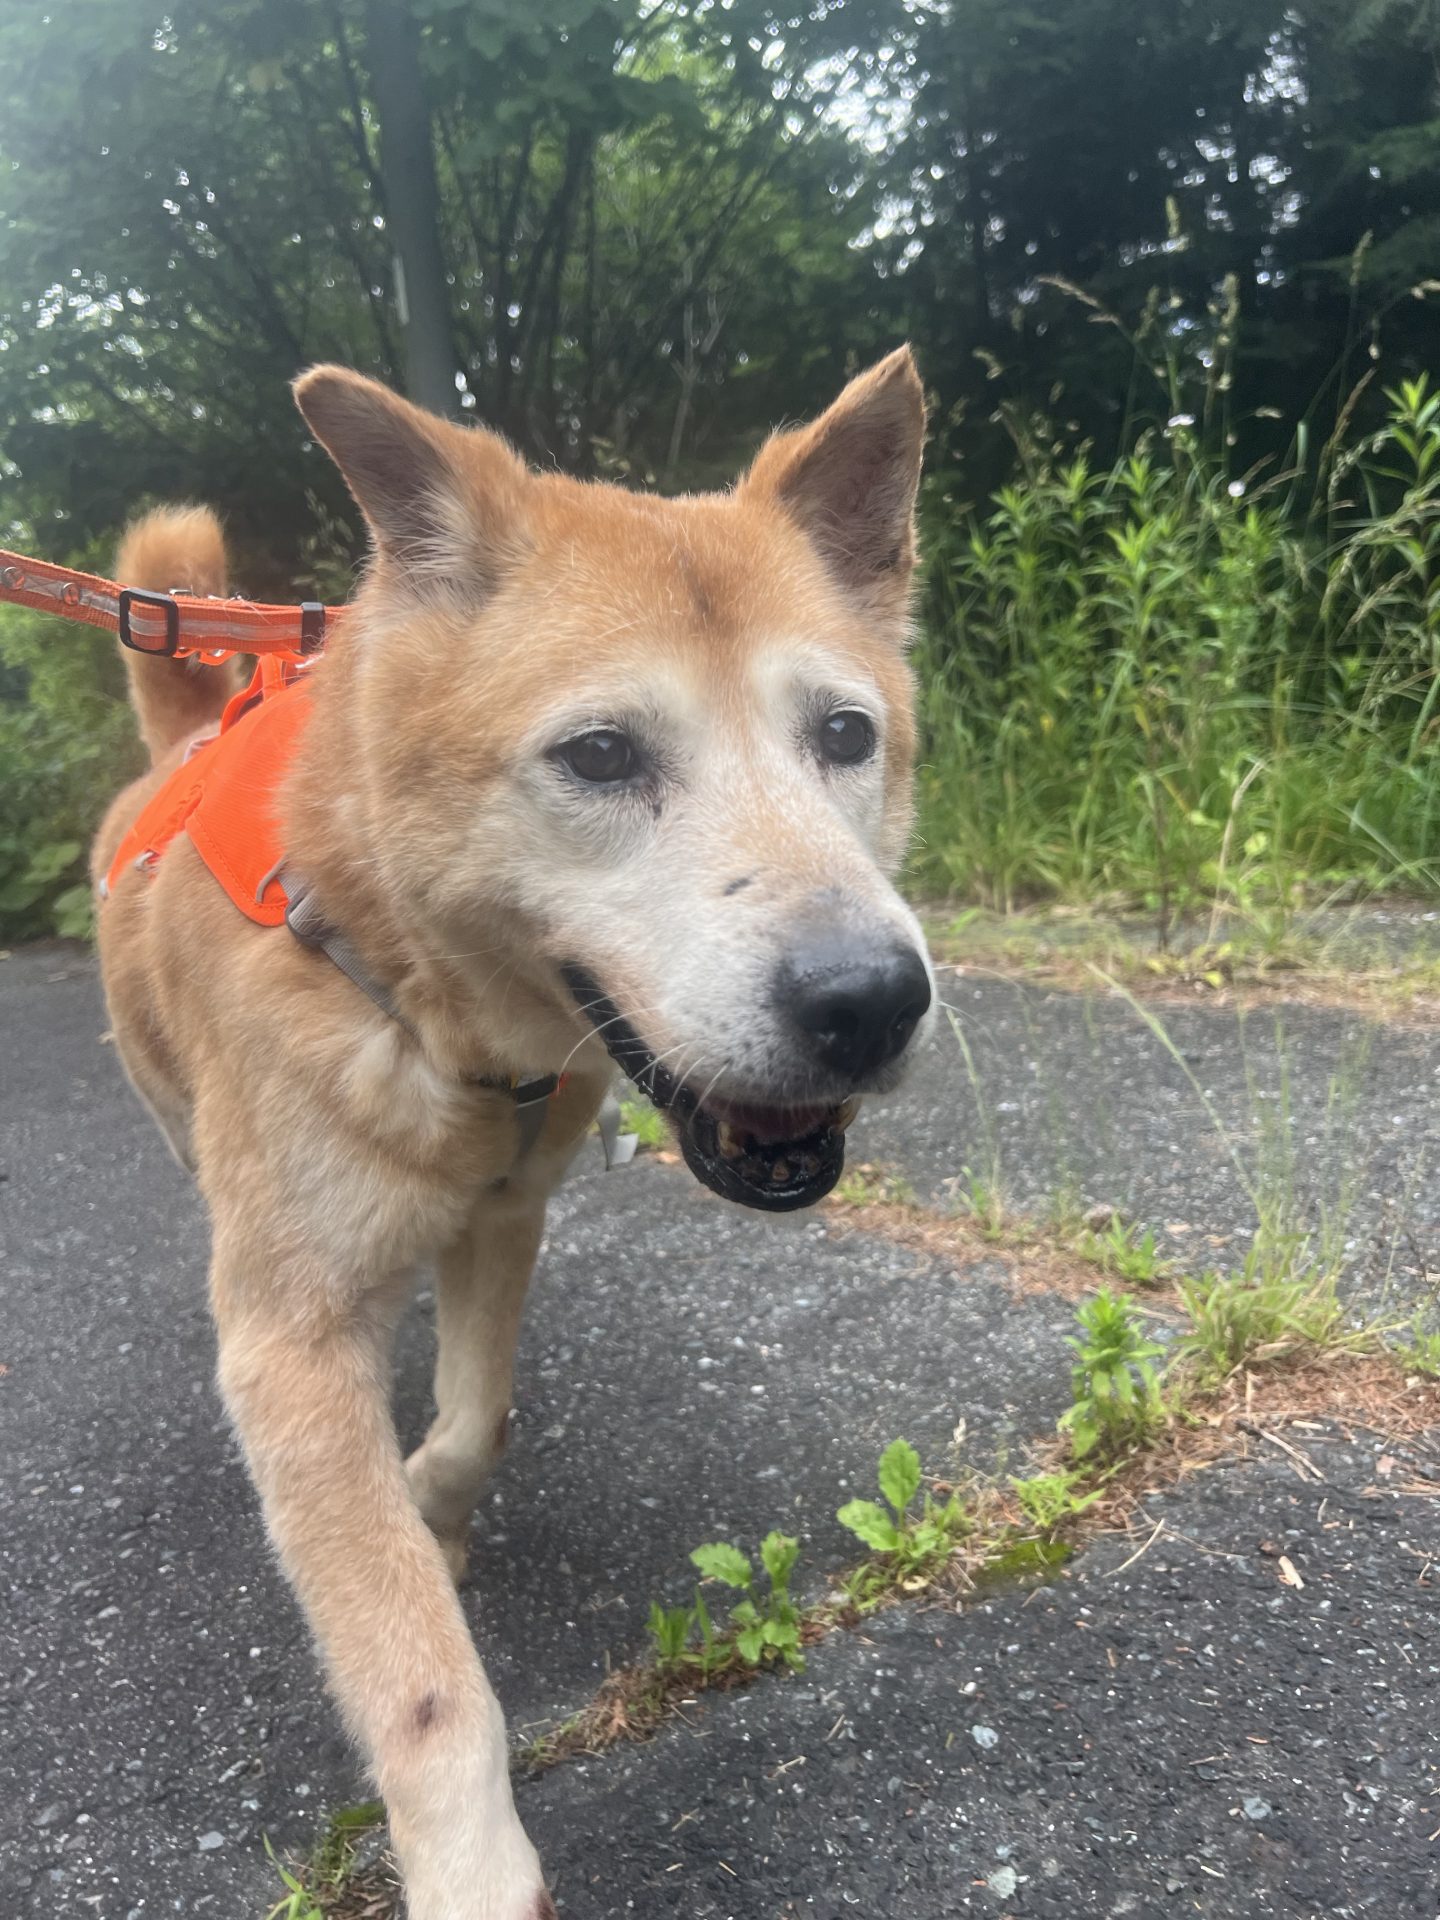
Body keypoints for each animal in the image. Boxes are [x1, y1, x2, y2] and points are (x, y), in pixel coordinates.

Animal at [89, 348, 934, 1918]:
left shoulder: (506, 1214)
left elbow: (476, 1421)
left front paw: (429, 1494)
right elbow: (417, 1675)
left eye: (845, 736)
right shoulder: (290, 1345)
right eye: (600, 756)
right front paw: (474, 1867)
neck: (413, 998)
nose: (871, 1002)